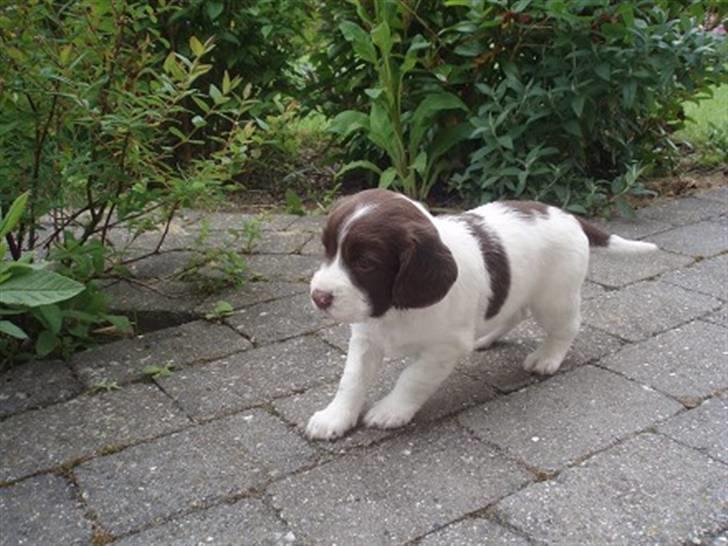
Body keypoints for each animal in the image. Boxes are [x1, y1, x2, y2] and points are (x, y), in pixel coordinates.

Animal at [304, 187, 656, 438]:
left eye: (366, 263)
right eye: (326, 250)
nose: (318, 296)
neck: (394, 309)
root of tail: (566, 215)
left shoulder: (445, 348)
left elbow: (412, 378)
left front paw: (391, 410)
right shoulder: (366, 339)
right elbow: (351, 380)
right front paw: (335, 417)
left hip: (554, 298)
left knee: (565, 327)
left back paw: (547, 358)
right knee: (513, 313)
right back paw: (486, 338)